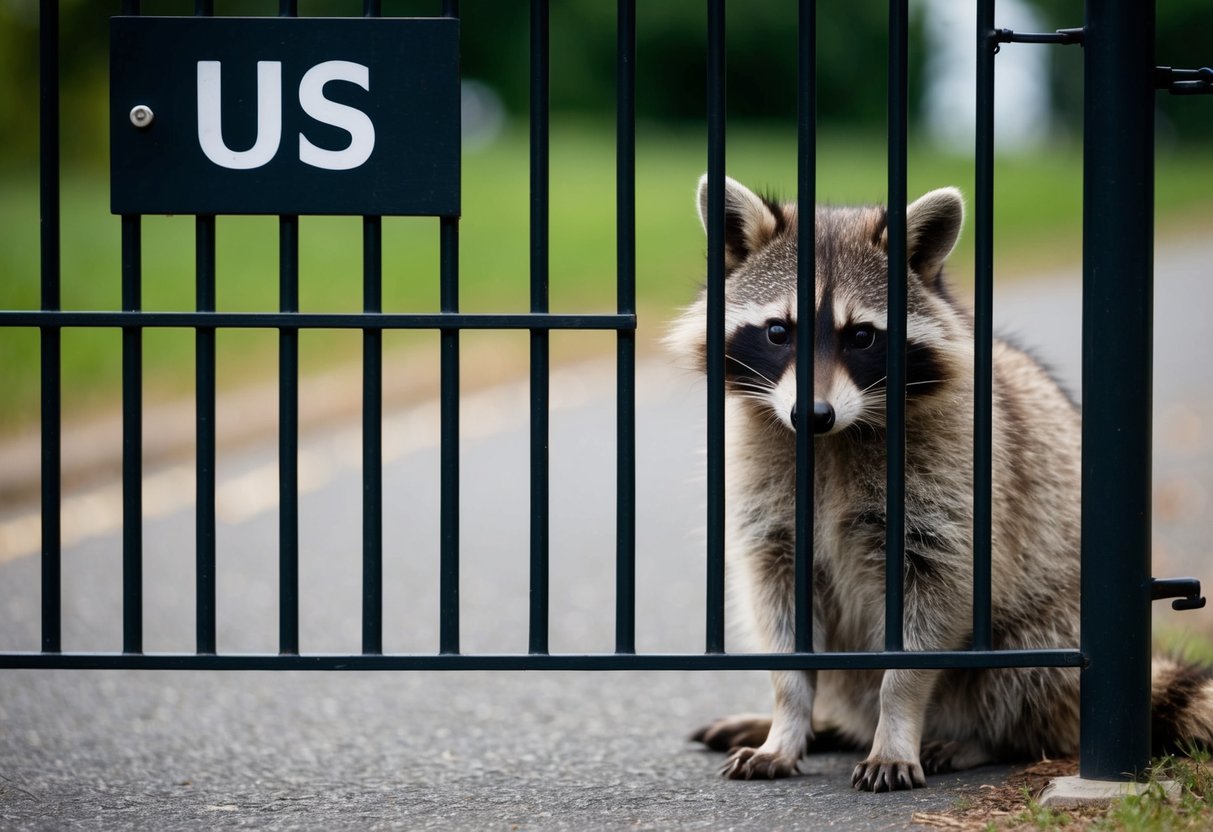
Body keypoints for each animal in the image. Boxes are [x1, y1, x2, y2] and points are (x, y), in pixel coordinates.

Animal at [667, 175, 1213, 791]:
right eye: (778, 332)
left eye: (862, 336)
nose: (814, 415)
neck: (833, 439)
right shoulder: (768, 501)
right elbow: (781, 622)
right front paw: (786, 720)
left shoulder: (953, 489)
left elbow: (931, 615)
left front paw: (897, 723)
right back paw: (824, 724)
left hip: (1059, 624)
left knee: (1027, 678)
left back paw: (979, 739)